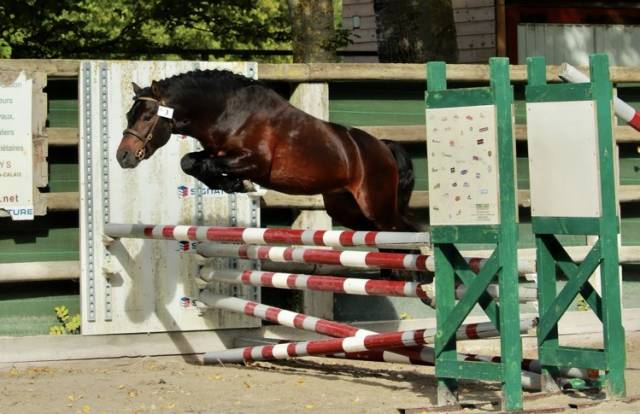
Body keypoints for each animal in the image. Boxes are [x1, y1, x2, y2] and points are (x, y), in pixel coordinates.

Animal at [116, 71, 416, 233]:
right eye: (129, 115)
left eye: (147, 117)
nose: (123, 156)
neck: (228, 111)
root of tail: (384, 147)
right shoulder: (215, 153)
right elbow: (189, 162)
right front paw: (232, 184)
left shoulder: (256, 163)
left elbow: (208, 166)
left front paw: (239, 184)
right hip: (345, 208)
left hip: (376, 206)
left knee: (400, 234)